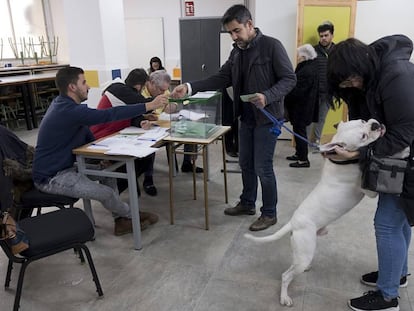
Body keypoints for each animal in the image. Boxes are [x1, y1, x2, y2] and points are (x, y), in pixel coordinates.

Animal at [246, 119, 384, 308]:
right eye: (363, 136)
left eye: (363, 120)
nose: (376, 124)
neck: (341, 161)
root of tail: (293, 222)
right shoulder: (368, 191)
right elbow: (375, 187)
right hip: (304, 251)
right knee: (286, 276)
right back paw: (284, 297)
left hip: (303, 251)